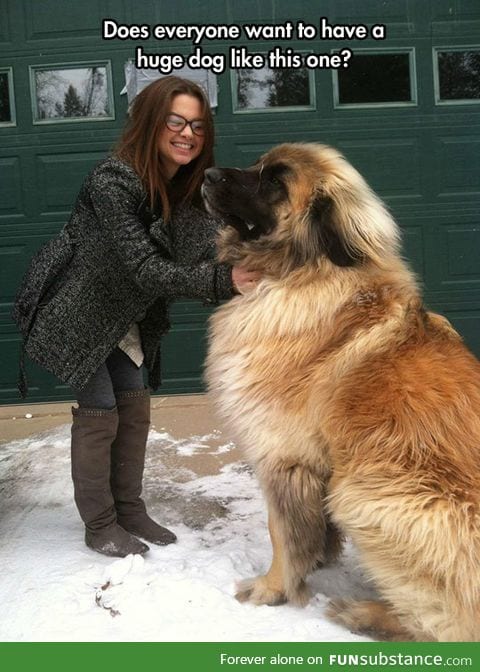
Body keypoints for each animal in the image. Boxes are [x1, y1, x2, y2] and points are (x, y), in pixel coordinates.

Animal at [201, 144, 480, 644]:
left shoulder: (282, 455)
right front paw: (317, 559)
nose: (208, 174)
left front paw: (272, 588)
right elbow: (311, 529)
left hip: (366, 492)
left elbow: (281, 531)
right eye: (256, 166)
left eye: (275, 182)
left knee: (445, 626)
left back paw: (363, 613)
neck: (303, 271)